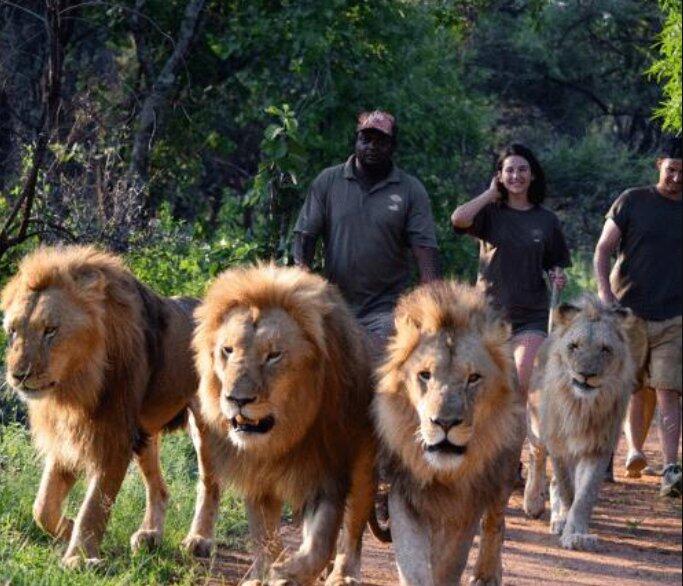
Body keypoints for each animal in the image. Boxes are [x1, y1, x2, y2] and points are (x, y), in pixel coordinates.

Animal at [1, 245, 210, 568]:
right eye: (13, 331)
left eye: (50, 330)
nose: (18, 375)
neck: (74, 387)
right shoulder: (67, 436)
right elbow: (43, 506)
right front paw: (68, 528)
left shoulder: (114, 438)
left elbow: (95, 506)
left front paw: (78, 558)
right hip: (145, 433)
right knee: (160, 488)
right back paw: (149, 536)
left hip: (209, 423)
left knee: (208, 484)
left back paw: (199, 540)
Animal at [183, 264, 377, 586]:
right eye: (227, 350)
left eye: (274, 355)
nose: (237, 399)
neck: (281, 439)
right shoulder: (255, 475)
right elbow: (263, 537)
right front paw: (263, 575)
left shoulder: (328, 472)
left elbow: (321, 541)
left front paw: (289, 574)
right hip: (205, 434)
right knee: (209, 481)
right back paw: (199, 538)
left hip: (363, 465)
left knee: (354, 525)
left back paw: (342, 574)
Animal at [372, 281, 525, 586]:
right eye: (425, 375)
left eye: (473, 378)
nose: (444, 423)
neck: (444, 474)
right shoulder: (405, 491)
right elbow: (414, 564)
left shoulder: (468, 501)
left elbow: (450, 562)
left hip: (504, 470)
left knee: (495, 522)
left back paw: (487, 575)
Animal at [524, 296, 638, 551]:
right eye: (574, 346)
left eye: (605, 349)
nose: (586, 374)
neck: (581, 407)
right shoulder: (558, 446)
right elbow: (568, 489)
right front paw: (566, 523)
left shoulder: (598, 447)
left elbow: (584, 494)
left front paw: (576, 531)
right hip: (536, 428)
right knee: (536, 457)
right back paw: (534, 503)